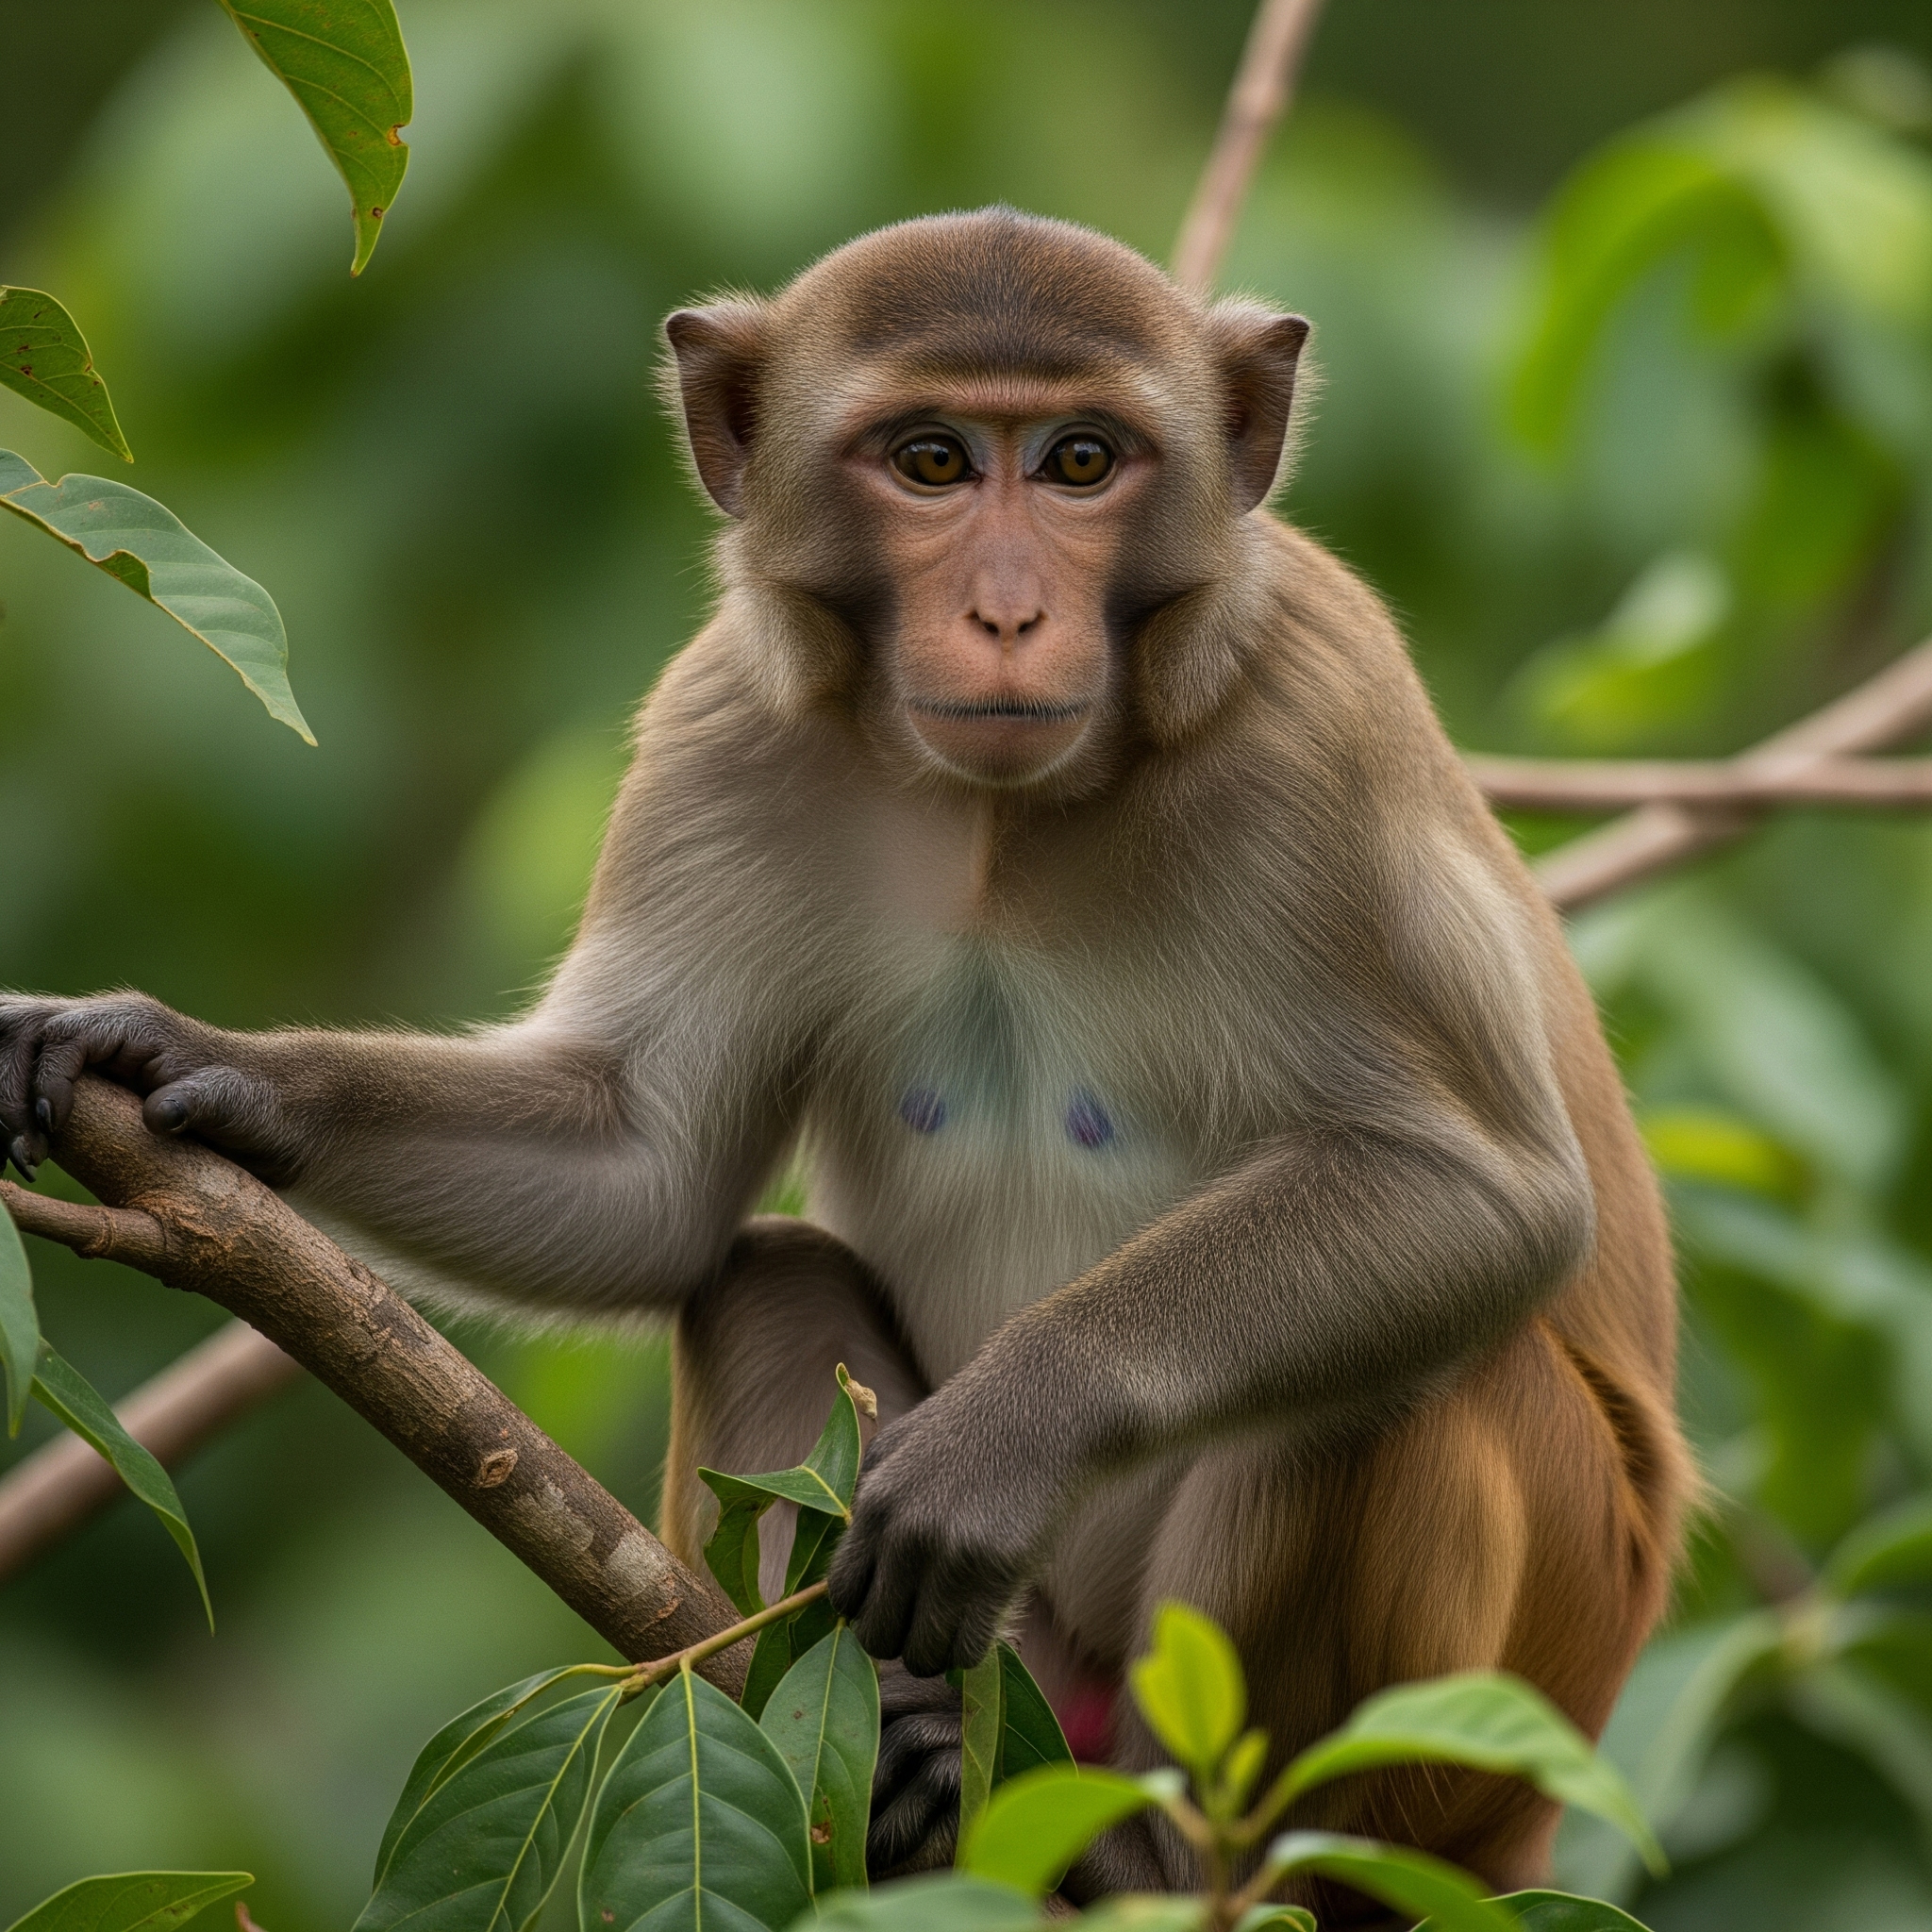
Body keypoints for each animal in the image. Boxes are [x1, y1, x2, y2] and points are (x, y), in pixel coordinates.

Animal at [0, 209, 1690, 1915]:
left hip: (1500, 1696)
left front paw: (1014, 1428)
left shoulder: (1317, 721)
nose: (1007, 614)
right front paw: (199, 1064)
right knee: (761, 1274)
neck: (1012, 813)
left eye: (1082, 462)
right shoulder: (725, 724)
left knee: (1382, 1381)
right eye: (930, 462)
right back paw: (917, 1751)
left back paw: (1173, 1847)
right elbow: (647, 1177)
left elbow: (1476, 1189)